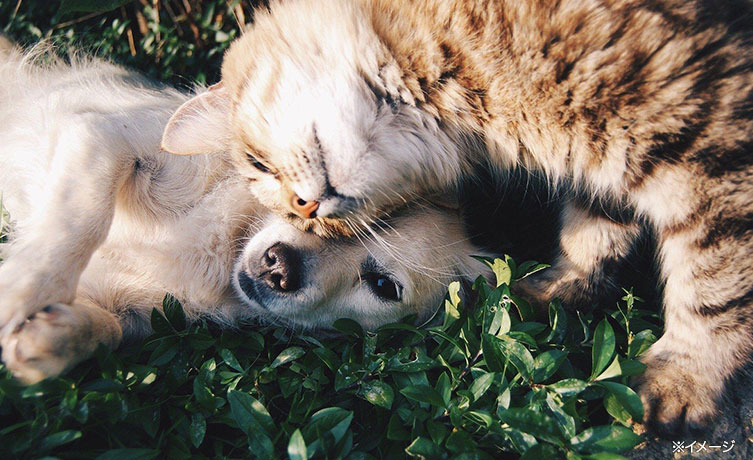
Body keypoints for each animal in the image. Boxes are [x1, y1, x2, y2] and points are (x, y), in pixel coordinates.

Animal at [162, 0, 752, 438]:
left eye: (258, 164)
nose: (306, 210)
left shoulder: (708, 145)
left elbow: (714, 286)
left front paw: (686, 377)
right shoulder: (609, 163)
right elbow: (596, 228)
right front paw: (559, 288)